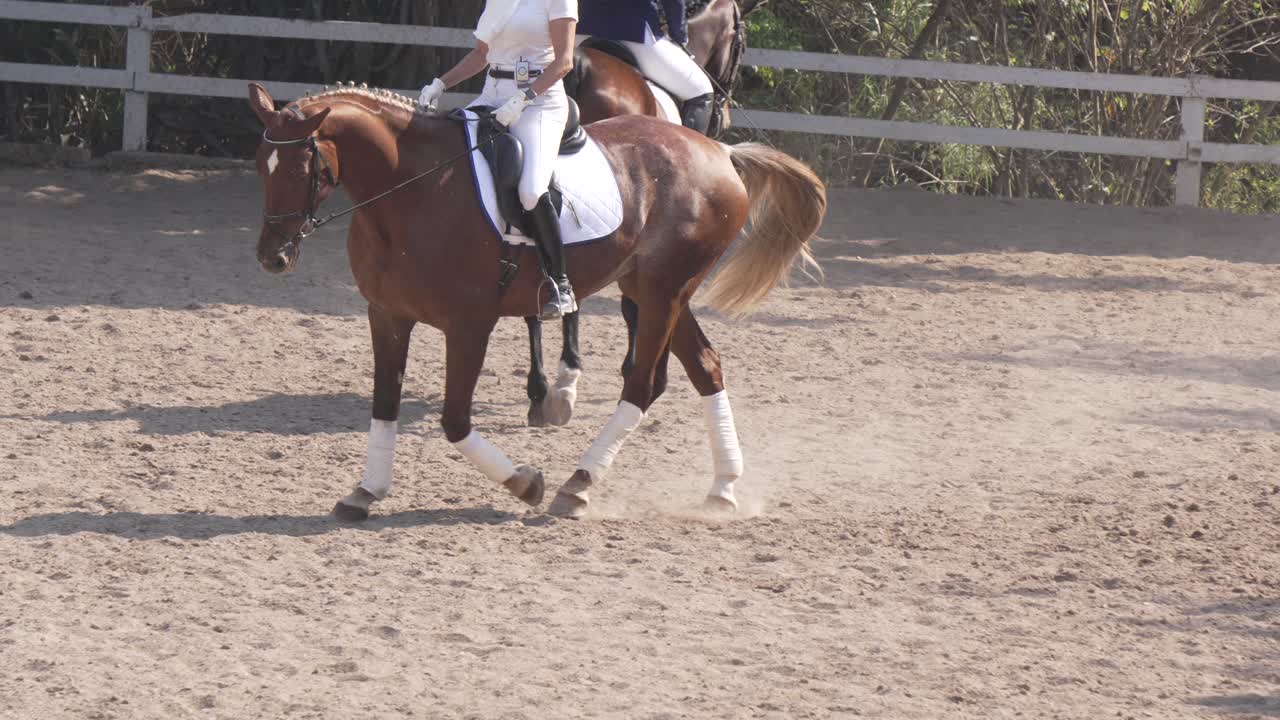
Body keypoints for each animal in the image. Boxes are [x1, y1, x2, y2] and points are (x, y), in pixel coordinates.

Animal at [246, 82, 825, 519]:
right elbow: (384, 402)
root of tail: (720, 153)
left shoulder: (469, 324)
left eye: (299, 169)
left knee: (641, 385)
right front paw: (366, 491)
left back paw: (578, 484)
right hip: (653, 290)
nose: (273, 258)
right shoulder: (386, 315)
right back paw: (722, 488)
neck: (413, 192)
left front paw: (526, 483)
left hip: (666, 291)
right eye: (259, 165)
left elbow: (455, 422)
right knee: (704, 366)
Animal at [518, 0, 764, 431]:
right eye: (741, 45)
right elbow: (634, 304)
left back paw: (541, 389)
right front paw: (633, 368)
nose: (724, 119)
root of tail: (580, 66)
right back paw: (565, 385)